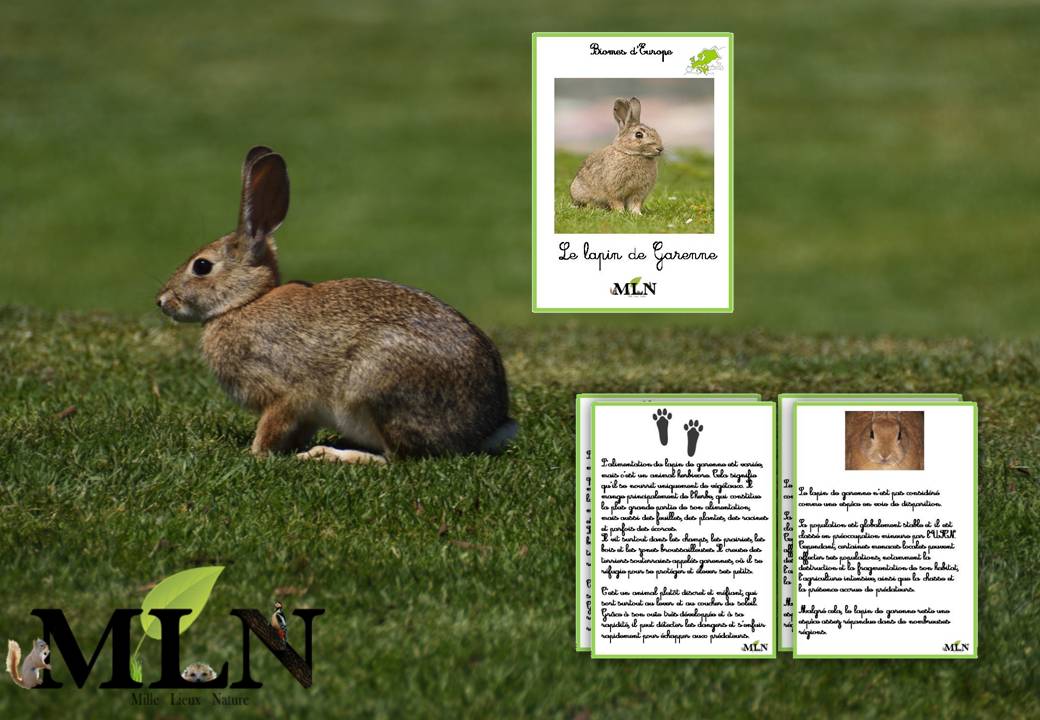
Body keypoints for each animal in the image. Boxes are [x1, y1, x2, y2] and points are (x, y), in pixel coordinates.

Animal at [156, 146, 516, 464]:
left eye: (202, 266)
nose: (162, 301)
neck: (245, 302)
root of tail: (483, 429)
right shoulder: (305, 413)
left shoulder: (283, 392)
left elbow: (271, 427)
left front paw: (254, 455)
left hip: (374, 387)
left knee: (396, 458)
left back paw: (328, 455)